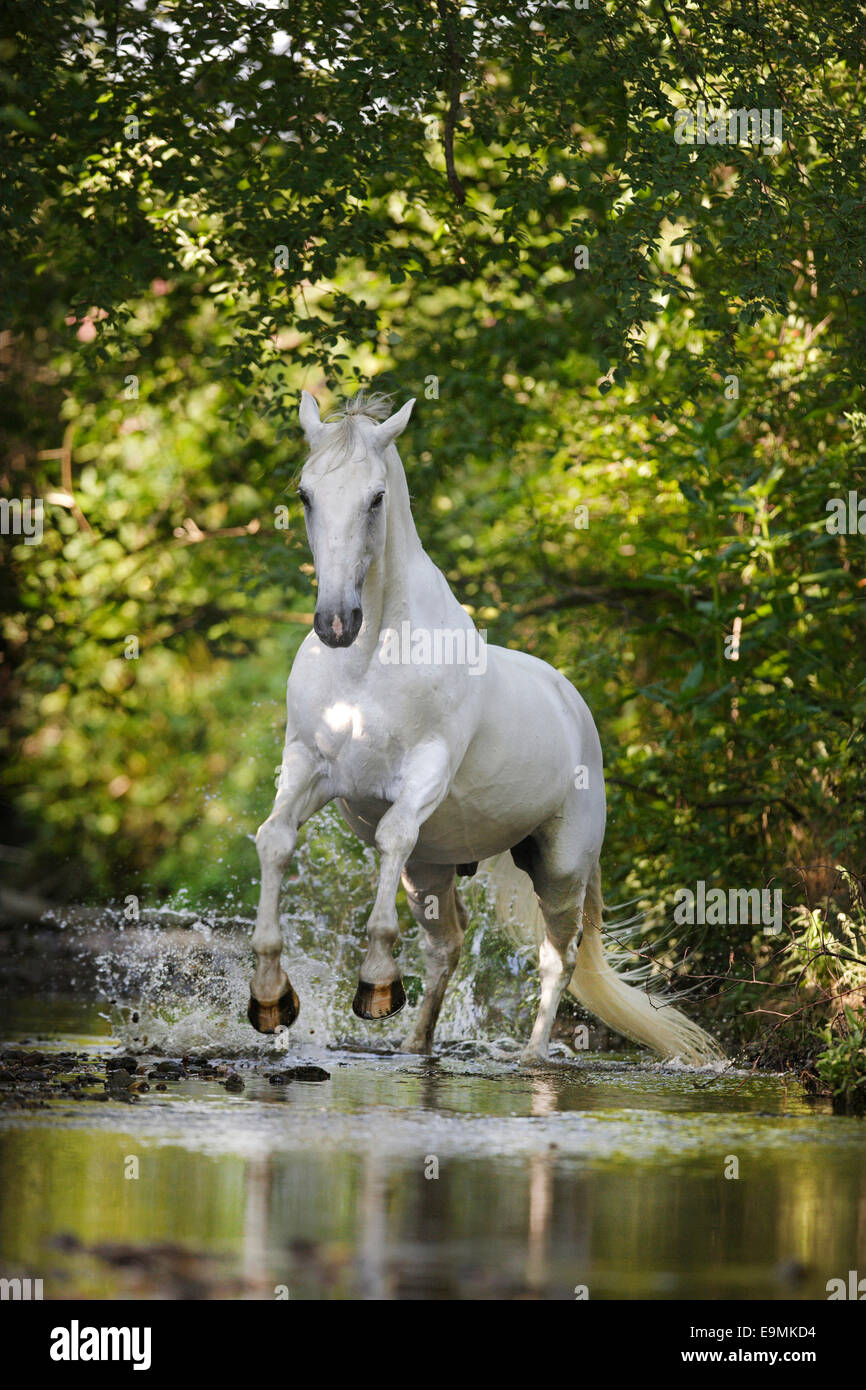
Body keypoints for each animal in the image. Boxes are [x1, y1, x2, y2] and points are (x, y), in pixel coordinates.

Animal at [247, 391, 722, 1061]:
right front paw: (270, 998)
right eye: (307, 494)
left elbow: (393, 833)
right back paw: (415, 1045)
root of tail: (573, 704)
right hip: (431, 869)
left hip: (560, 866)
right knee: (447, 945)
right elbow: (274, 839)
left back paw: (530, 1057)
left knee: (559, 958)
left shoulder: (425, 774)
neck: (366, 664)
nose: (336, 622)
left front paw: (375, 984)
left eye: (376, 497)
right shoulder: (309, 767)